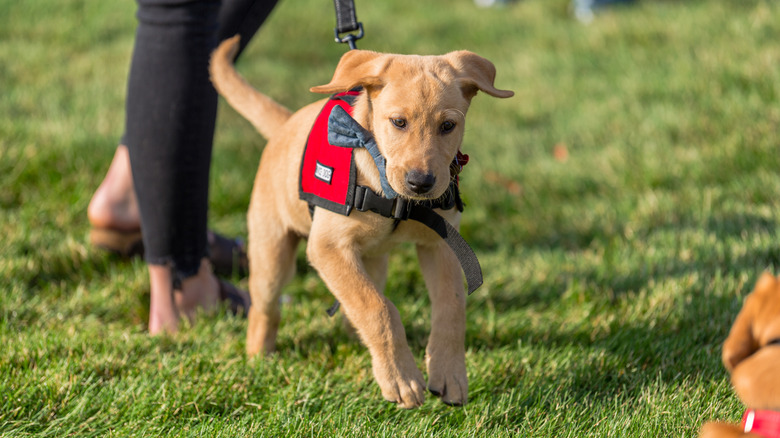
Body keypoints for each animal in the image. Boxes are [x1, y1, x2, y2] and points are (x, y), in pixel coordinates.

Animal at [207, 36, 512, 408]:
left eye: (448, 126)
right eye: (398, 122)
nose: (420, 183)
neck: (395, 197)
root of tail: (285, 125)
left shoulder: (441, 244)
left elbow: (450, 306)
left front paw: (449, 373)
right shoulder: (327, 248)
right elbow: (378, 309)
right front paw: (401, 378)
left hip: (372, 260)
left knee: (357, 299)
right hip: (272, 255)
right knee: (265, 309)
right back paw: (258, 358)